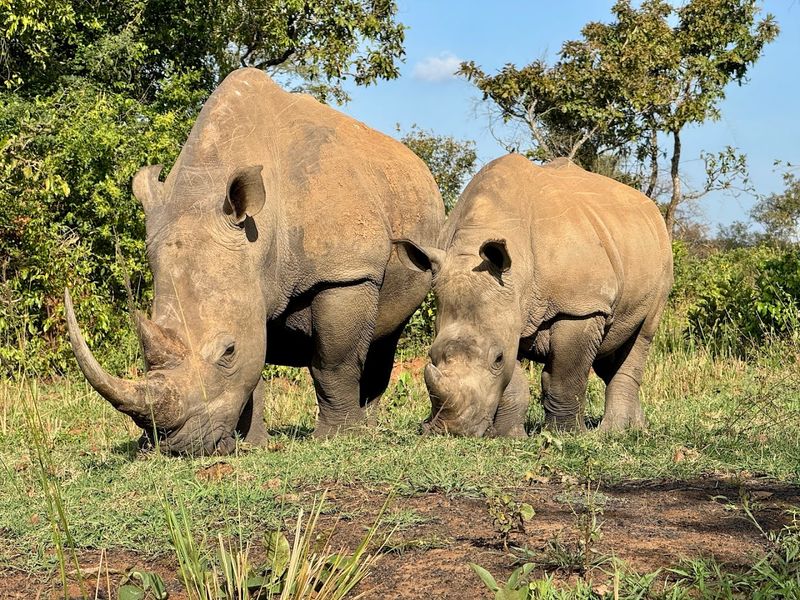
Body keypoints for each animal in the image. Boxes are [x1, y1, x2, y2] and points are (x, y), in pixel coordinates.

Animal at [65, 68, 444, 455]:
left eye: (228, 351)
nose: (178, 446)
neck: (259, 238)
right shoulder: (250, 283)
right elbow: (255, 364)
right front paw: (253, 444)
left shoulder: (346, 272)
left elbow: (332, 362)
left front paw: (335, 439)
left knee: (386, 335)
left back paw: (366, 429)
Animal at [395, 154, 673, 437]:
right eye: (431, 356)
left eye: (497, 358)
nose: (450, 430)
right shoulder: (511, 307)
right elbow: (513, 381)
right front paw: (508, 436)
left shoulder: (580, 307)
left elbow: (564, 376)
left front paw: (567, 434)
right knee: (611, 349)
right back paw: (637, 428)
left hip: (662, 260)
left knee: (642, 335)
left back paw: (612, 431)